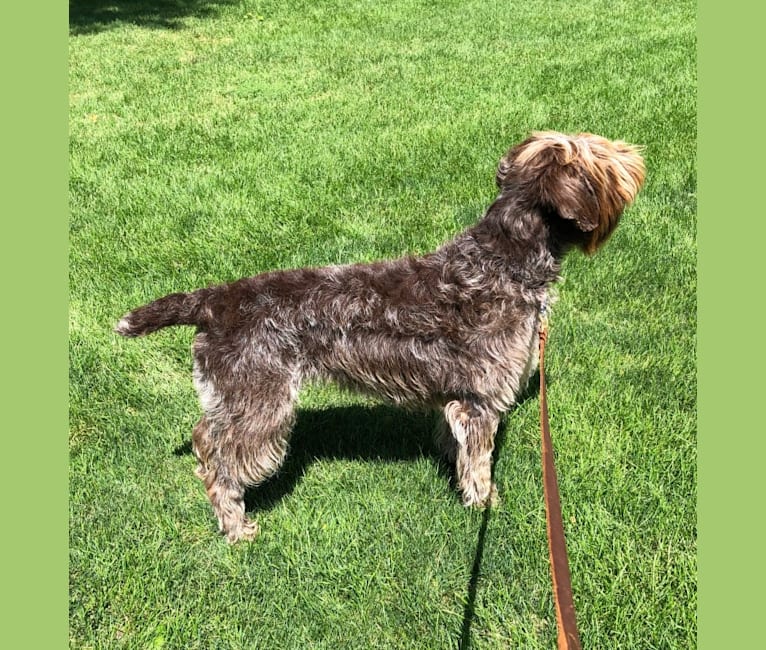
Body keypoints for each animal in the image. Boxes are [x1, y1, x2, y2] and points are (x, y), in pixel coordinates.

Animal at [117, 132, 648, 540]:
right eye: (600, 156)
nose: (635, 156)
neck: (503, 261)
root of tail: (212, 301)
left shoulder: (457, 398)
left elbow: (453, 441)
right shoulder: (480, 400)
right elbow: (479, 461)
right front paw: (484, 504)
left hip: (234, 398)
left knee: (206, 437)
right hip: (261, 406)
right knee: (217, 463)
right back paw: (235, 526)